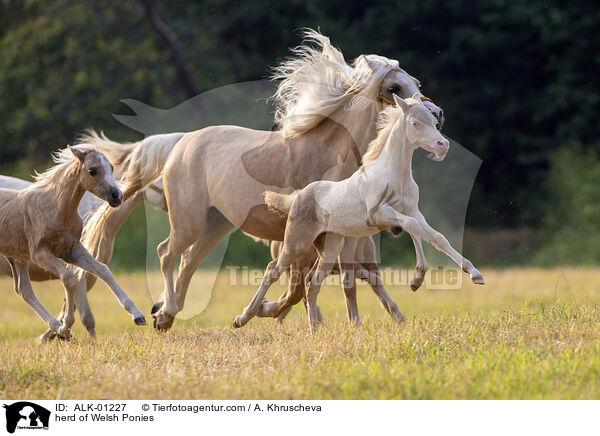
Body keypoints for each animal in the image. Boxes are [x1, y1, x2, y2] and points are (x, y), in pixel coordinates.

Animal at [82, 29, 442, 330]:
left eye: (417, 83)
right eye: (394, 88)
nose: (437, 115)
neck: (327, 154)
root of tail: (181, 142)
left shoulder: (335, 239)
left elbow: (324, 284)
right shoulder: (299, 238)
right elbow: (297, 287)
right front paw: (258, 312)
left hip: (216, 224)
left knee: (188, 261)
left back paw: (165, 314)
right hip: (189, 220)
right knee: (167, 254)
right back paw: (165, 312)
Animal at [232, 95, 486, 332]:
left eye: (434, 121)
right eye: (415, 123)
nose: (443, 145)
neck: (395, 174)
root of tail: (296, 198)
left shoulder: (412, 210)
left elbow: (435, 236)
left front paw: (473, 274)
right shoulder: (379, 214)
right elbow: (412, 227)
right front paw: (417, 280)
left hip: (330, 247)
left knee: (311, 284)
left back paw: (314, 331)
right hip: (297, 243)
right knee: (273, 270)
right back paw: (242, 318)